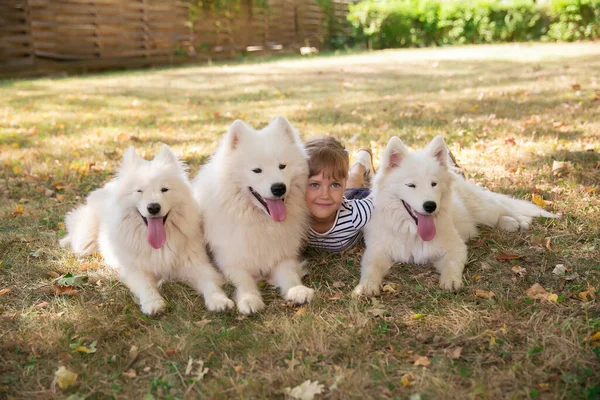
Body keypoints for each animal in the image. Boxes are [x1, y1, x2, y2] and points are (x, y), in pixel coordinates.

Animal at [58, 145, 232, 314]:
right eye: (139, 191)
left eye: (164, 189)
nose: (153, 207)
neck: (160, 245)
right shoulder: (136, 269)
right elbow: (146, 286)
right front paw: (153, 303)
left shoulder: (197, 265)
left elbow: (209, 283)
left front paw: (219, 300)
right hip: (85, 241)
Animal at [193, 114, 314, 314]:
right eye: (257, 170)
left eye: (282, 166)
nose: (279, 188)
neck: (262, 222)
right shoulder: (232, 262)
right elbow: (245, 282)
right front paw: (249, 299)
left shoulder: (283, 256)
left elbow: (289, 275)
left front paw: (297, 290)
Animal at [354, 136, 556, 296]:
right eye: (410, 185)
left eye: (434, 184)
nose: (430, 206)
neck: (413, 232)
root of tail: (456, 175)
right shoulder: (377, 250)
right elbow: (371, 267)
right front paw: (366, 286)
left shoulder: (456, 247)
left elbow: (452, 264)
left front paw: (450, 281)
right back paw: (510, 223)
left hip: (483, 208)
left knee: (503, 208)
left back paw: (520, 221)